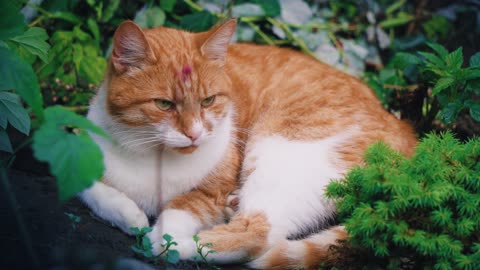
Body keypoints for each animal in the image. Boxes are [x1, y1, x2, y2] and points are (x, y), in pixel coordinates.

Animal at [79, 17, 416, 268]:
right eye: (164, 104)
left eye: (208, 101)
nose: (194, 133)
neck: (156, 156)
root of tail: (406, 131)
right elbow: (92, 190)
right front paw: (130, 215)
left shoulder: (211, 192)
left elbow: (180, 209)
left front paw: (160, 233)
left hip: (280, 148)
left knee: (258, 235)